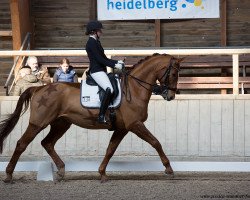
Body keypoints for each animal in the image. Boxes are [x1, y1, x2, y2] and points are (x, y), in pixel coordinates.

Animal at [0, 53, 182, 183]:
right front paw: (169, 169)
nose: (171, 96)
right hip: (38, 123)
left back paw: (61, 171)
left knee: (47, 143)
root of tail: (38, 89)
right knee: (22, 144)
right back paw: (8, 175)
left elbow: (110, 149)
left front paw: (102, 174)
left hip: (61, 124)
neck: (134, 89)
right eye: (174, 73)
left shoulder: (122, 128)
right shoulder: (135, 124)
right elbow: (155, 142)